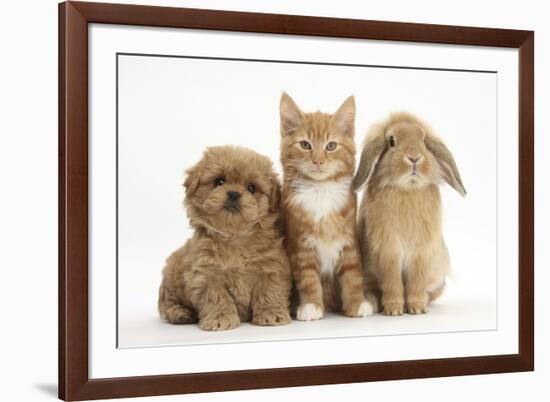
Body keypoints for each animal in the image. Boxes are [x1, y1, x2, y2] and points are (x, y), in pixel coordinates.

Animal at [158, 144, 294, 330]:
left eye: (251, 188)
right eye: (219, 181)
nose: (234, 193)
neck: (234, 238)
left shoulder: (272, 269)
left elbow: (269, 292)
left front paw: (272, 314)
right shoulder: (205, 275)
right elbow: (217, 297)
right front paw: (220, 318)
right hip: (170, 278)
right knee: (167, 304)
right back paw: (181, 313)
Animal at [280, 93, 376, 320]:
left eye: (331, 146)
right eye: (305, 145)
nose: (318, 161)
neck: (320, 190)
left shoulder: (349, 240)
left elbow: (352, 275)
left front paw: (357, 303)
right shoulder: (301, 245)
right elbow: (308, 279)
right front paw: (311, 306)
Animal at [356, 111, 468, 316]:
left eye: (423, 140)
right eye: (391, 141)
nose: (414, 158)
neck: (407, 189)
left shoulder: (421, 252)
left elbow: (416, 281)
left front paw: (416, 308)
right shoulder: (389, 251)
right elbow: (392, 281)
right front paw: (394, 309)